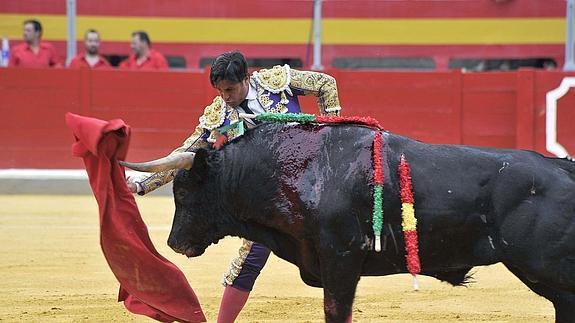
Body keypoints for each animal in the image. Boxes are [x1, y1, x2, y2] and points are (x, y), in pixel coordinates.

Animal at [121, 123, 575, 322]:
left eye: (185, 191)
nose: (175, 243)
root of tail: (561, 167)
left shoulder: (340, 260)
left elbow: (335, 312)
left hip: (546, 268)